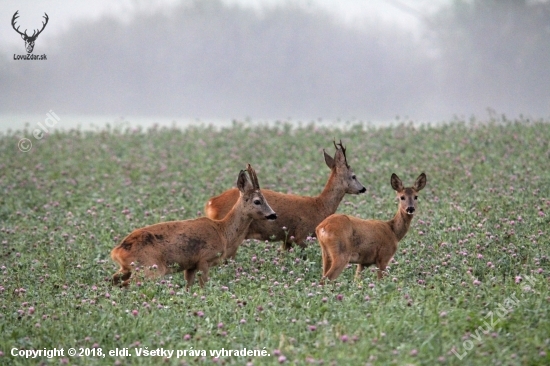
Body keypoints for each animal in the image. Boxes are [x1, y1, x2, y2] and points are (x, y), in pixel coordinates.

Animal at [111, 165, 276, 288]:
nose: (273, 215)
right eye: (257, 201)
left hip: (127, 268)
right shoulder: (204, 259)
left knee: (114, 280)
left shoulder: (190, 265)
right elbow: (203, 285)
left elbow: (188, 287)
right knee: (129, 283)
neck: (223, 232)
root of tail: (117, 251)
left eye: (266, 199)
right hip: (150, 267)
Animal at [204, 141, 366, 252]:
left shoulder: (287, 239)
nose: (363, 188)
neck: (320, 206)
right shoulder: (301, 235)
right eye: (354, 176)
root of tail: (211, 203)